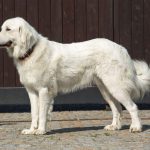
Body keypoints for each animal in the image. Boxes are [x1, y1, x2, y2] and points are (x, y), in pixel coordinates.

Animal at [0, 17, 150, 134]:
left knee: (132, 107)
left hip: (116, 87)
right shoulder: (32, 92)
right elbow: (34, 113)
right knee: (117, 108)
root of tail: (121, 48)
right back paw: (114, 127)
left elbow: (42, 114)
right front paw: (32, 130)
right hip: (106, 89)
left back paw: (136, 127)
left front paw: (41, 130)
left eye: (8, 29)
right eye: (2, 28)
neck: (30, 51)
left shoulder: (43, 91)